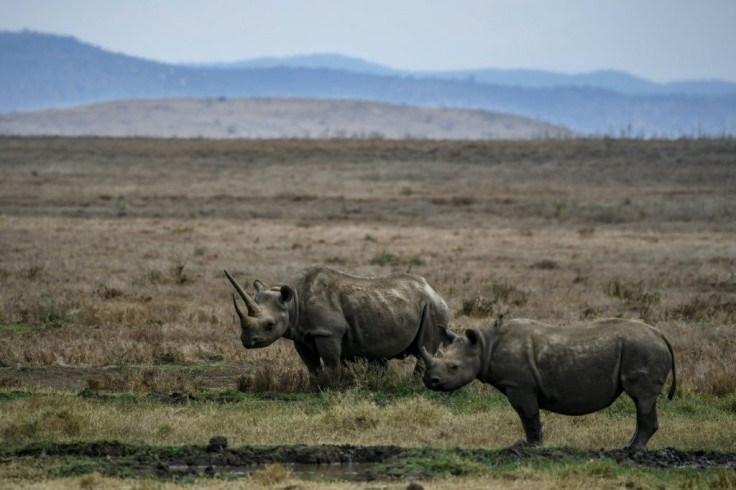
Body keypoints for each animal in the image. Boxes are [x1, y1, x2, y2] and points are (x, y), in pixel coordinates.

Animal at [224, 266, 452, 374]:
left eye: (269, 325)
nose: (247, 341)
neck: (292, 301)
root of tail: (436, 292)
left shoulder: (328, 332)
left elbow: (332, 363)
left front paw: (332, 387)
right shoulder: (302, 334)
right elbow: (312, 366)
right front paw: (315, 388)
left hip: (432, 308)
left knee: (424, 349)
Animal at [422, 318, 676, 452]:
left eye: (453, 367)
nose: (429, 381)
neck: (484, 346)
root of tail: (660, 335)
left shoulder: (519, 385)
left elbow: (528, 416)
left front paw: (529, 447)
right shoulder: (521, 385)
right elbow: (532, 417)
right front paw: (533, 444)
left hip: (643, 349)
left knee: (642, 398)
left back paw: (633, 451)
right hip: (642, 348)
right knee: (642, 401)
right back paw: (627, 447)